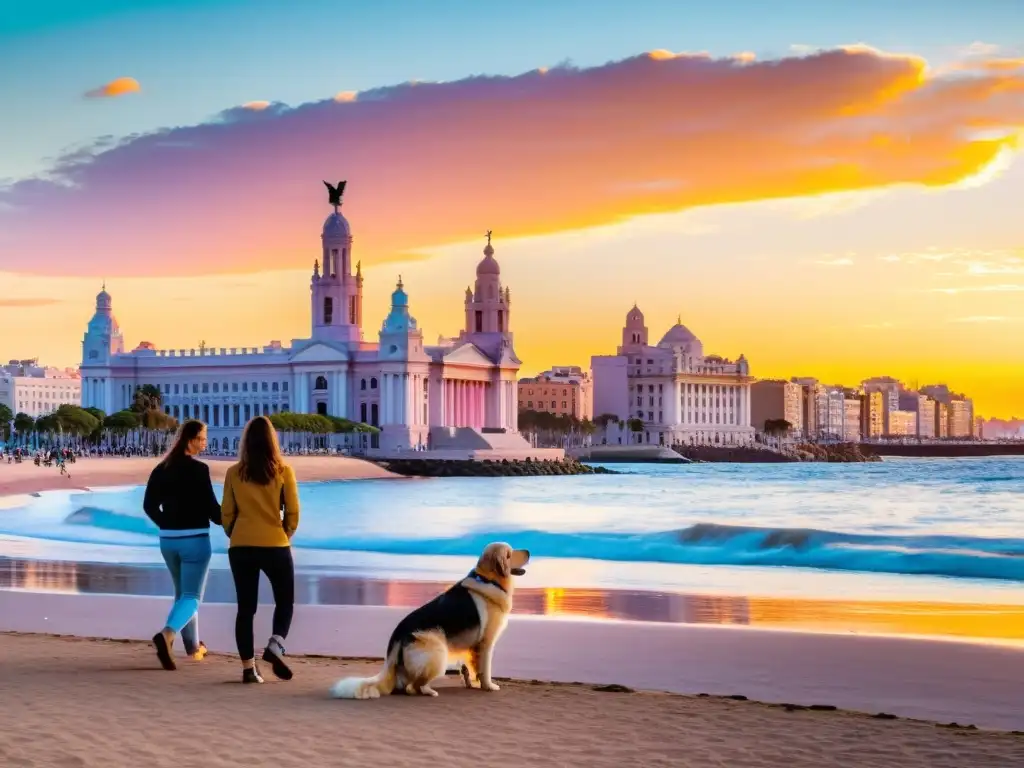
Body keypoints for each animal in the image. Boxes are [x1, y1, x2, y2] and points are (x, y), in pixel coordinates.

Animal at [331, 544, 532, 700]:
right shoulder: (486, 643)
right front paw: (489, 686)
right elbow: (485, 668)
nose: (529, 551)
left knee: (406, 685)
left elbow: (473, 669)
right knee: (414, 686)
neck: (489, 579)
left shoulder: (472, 648)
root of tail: (397, 635)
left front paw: (474, 684)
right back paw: (429, 691)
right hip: (437, 650)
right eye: (509, 554)